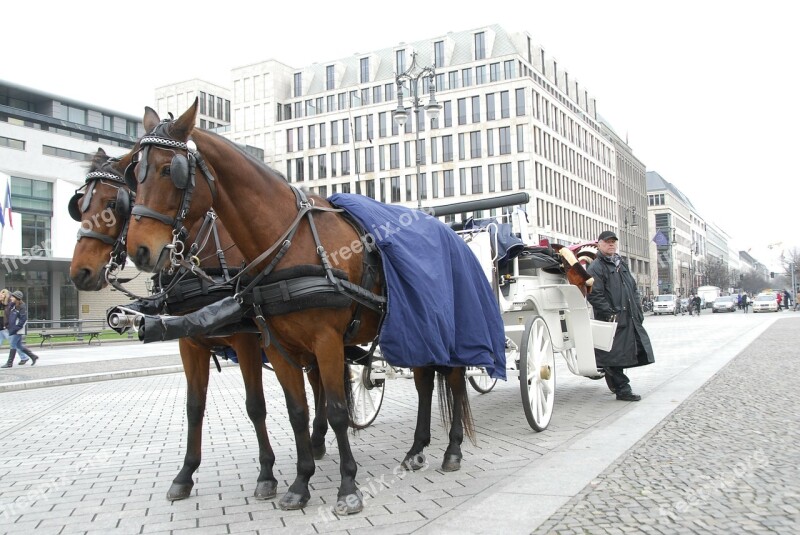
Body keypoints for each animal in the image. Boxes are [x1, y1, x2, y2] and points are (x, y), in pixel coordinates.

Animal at [69, 148, 330, 502]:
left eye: (113, 204)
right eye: (80, 206)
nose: (79, 272)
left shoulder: (247, 341)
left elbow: (255, 406)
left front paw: (266, 473)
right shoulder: (190, 342)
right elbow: (194, 406)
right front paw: (185, 474)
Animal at [122, 100, 478, 516]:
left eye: (170, 170)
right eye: (136, 174)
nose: (139, 250)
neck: (290, 240)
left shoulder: (324, 341)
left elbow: (337, 410)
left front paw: (347, 486)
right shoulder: (276, 347)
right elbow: (296, 412)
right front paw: (300, 482)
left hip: (444, 328)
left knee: (453, 379)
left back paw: (452, 450)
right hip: (414, 329)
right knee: (424, 383)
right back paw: (416, 449)